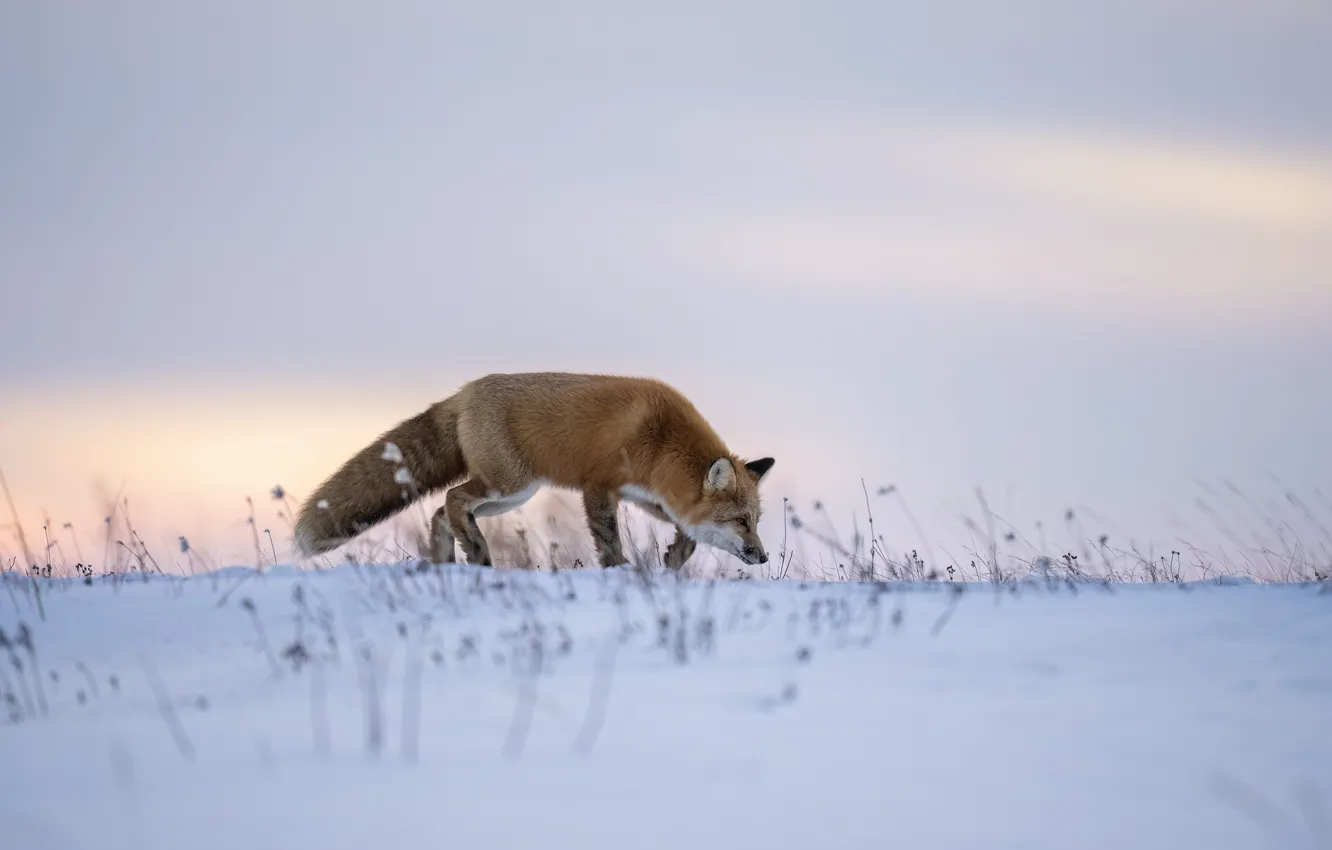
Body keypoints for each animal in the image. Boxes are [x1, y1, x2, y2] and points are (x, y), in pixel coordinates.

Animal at [293, 372, 776, 570]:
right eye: (741, 521)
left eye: (755, 521)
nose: (764, 557)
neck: (661, 439)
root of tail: (465, 392)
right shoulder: (598, 486)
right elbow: (609, 541)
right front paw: (621, 572)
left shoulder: (648, 495)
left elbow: (689, 535)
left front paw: (673, 560)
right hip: (508, 485)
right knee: (451, 499)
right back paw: (476, 554)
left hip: (510, 496)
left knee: (440, 512)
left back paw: (450, 562)